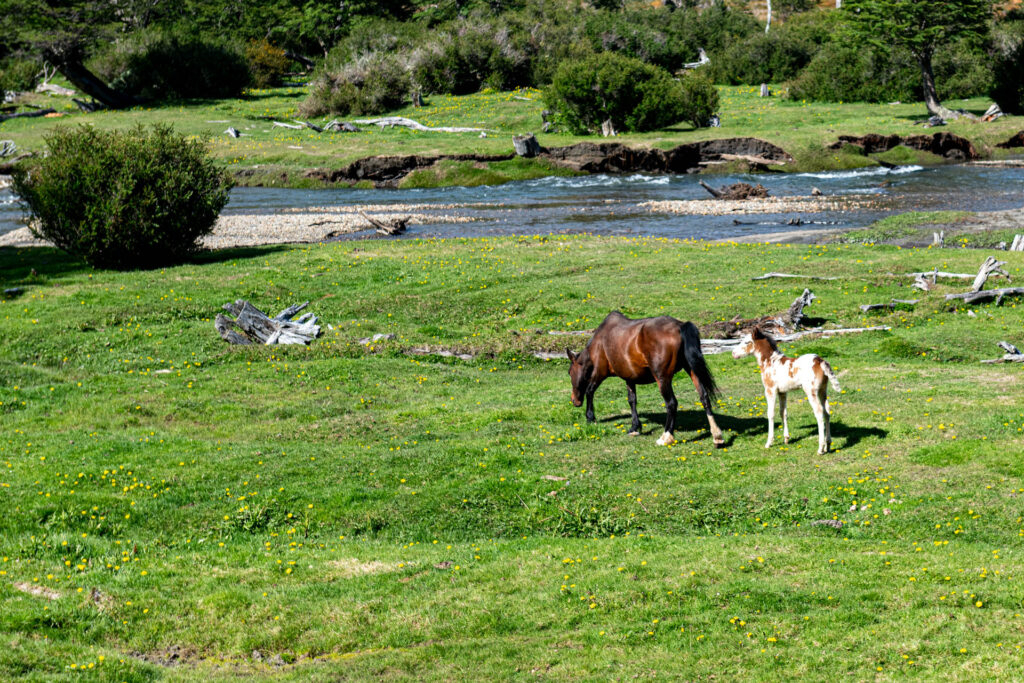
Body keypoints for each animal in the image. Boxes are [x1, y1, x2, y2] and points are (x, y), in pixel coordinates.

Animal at [573, 311, 724, 448]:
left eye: (570, 373)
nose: (575, 401)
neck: (599, 341)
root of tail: (680, 326)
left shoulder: (599, 372)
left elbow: (590, 391)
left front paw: (590, 417)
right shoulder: (629, 378)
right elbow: (632, 400)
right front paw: (635, 427)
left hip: (662, 379)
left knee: (671, 403)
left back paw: (666, 437)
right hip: (691, 369)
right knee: (704, 397)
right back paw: (717, 435)